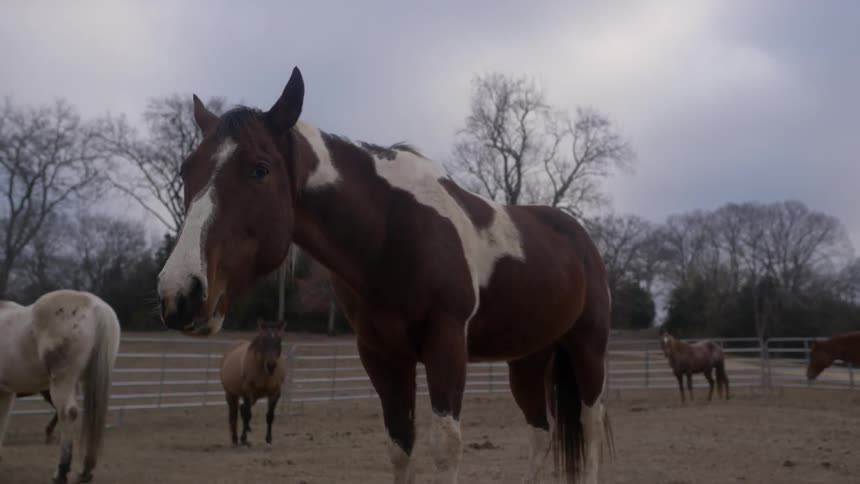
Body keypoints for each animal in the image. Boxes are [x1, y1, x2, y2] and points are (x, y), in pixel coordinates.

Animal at [0, 290, 120, 483]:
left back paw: (61, 472)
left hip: (62, 382)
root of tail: (95, 306)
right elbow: (2, 422)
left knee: (67, 413)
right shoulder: (6, 392)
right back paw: (85, 472)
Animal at [156, 66, 613, 484]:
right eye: (185, 170)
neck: (393, 231)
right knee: (541, 433)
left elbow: (445, 447)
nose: (179, 293)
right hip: (529, 358)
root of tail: (581, 239)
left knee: (588, 427)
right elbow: (400, 444)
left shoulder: (447, 344)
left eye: (260, 169)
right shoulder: (382, 354)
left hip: (587, 349)